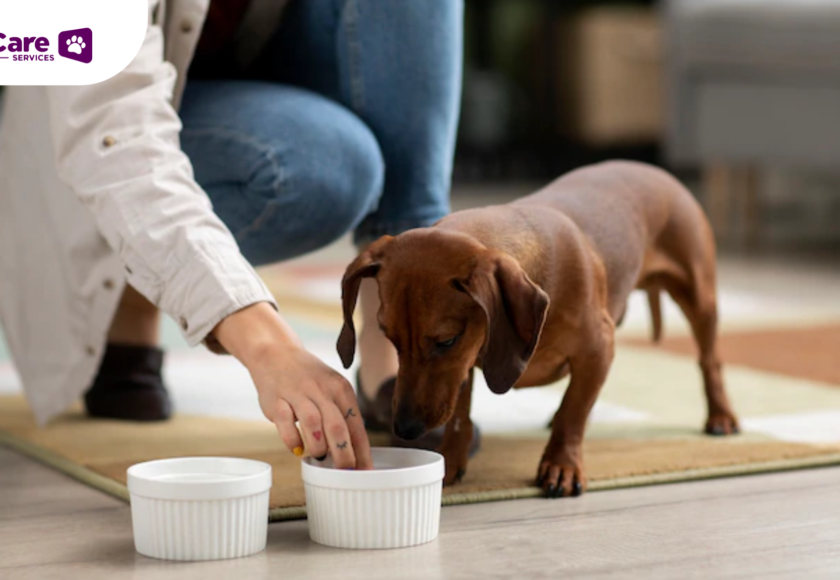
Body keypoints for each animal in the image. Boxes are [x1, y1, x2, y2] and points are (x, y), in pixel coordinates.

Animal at [338, 161, 740, 496]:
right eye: (389, 337)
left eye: (446, 340)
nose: (404, 429)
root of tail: (653, 169)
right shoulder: (466, 366)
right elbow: (460, 417)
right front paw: (450, 459)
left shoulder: (599, 348)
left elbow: (572, 413)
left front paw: (562, 464)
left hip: (699, 296)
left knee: (709, 360)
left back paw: (721, 415)